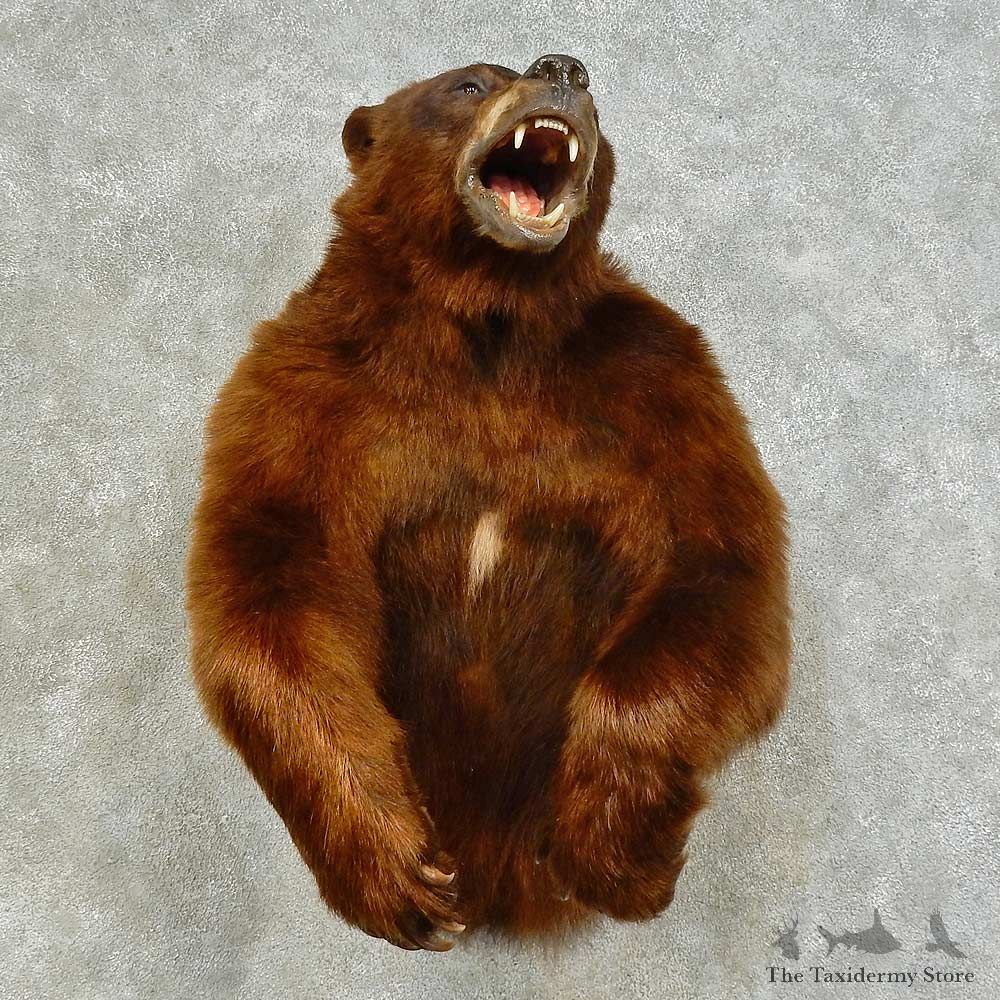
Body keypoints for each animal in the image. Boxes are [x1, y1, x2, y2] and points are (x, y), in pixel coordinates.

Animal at [186, 54, 790, 952]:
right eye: (468, 83)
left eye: (586, 87)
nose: (563, 67)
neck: (490, 327)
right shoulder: (308, 390)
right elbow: (273, 592)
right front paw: (400, 880)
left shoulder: (658, 388)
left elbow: (715, 563)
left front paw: (612, 858)